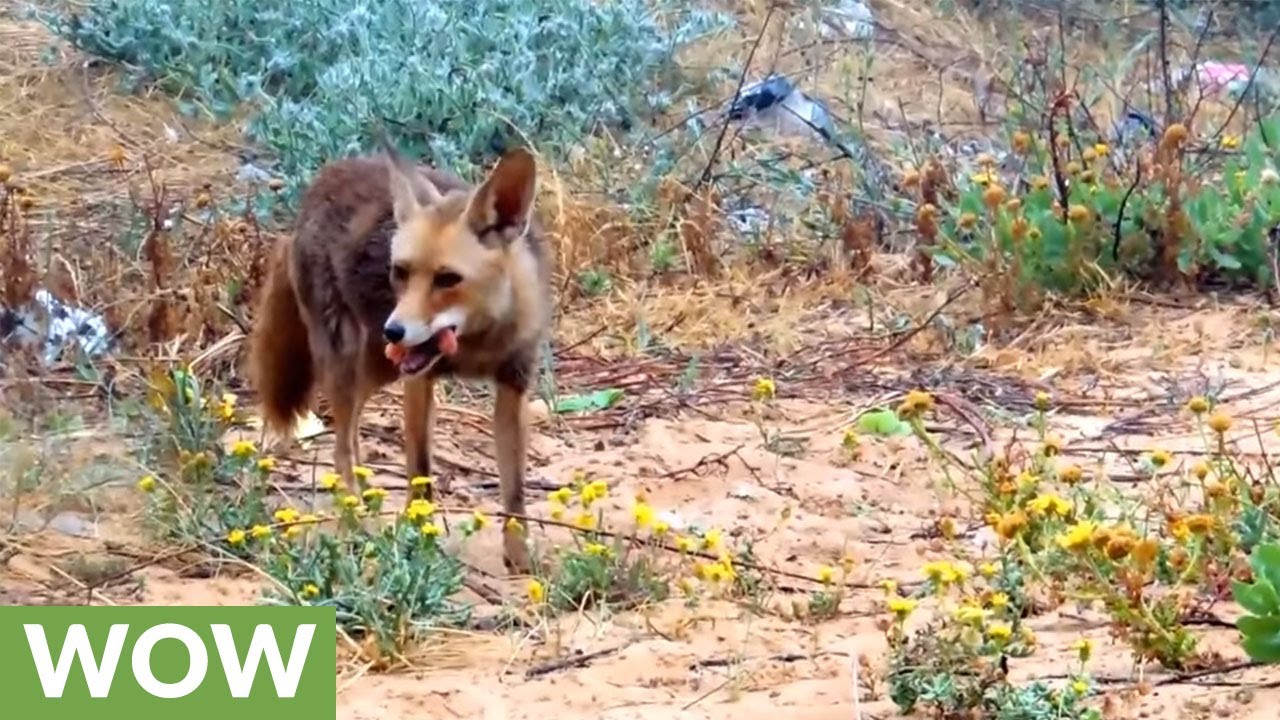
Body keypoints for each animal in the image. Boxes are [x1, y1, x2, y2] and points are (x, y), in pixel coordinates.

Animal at [246, 141, 551, 574]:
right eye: (400, 272)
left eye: (447, 279)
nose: (394, 331)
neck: (478, 343)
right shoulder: (418, 380)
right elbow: (420, 472)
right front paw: (419, 540)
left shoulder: (514, 384)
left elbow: (515, 491)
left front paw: (520, 558)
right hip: (349, 363)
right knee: (342, 447)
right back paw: (355, 518)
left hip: (377, 370)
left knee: (350, 439)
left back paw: (367, 500)